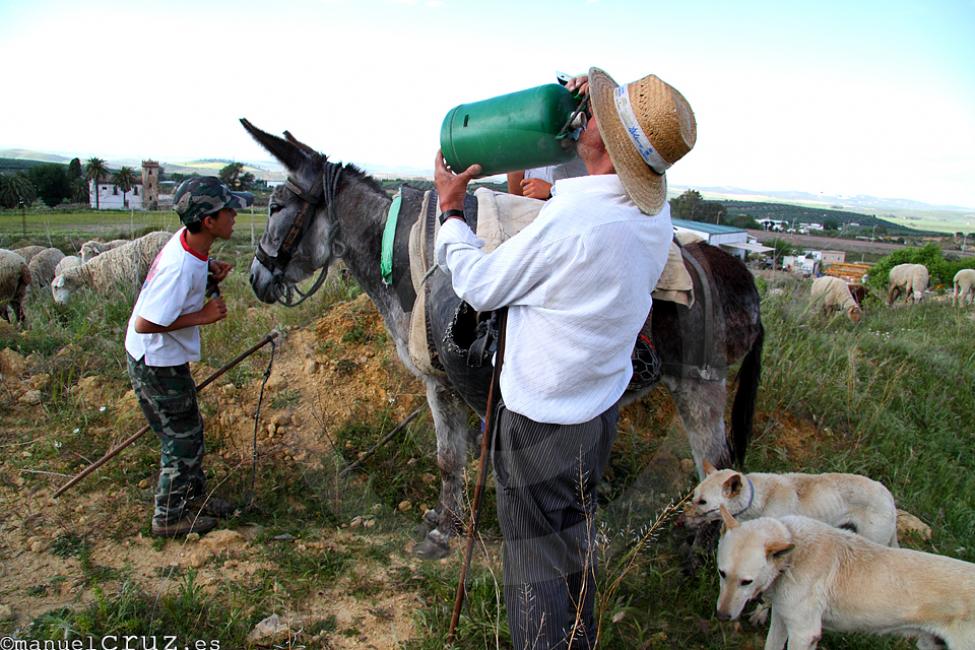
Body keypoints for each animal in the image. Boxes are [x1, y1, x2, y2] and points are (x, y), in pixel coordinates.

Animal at [712, 506, 972, 648]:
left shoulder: (805, 634)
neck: (793, 559)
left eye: (746, 581)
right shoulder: (782, 620)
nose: (722, 616)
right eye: (722, 573)